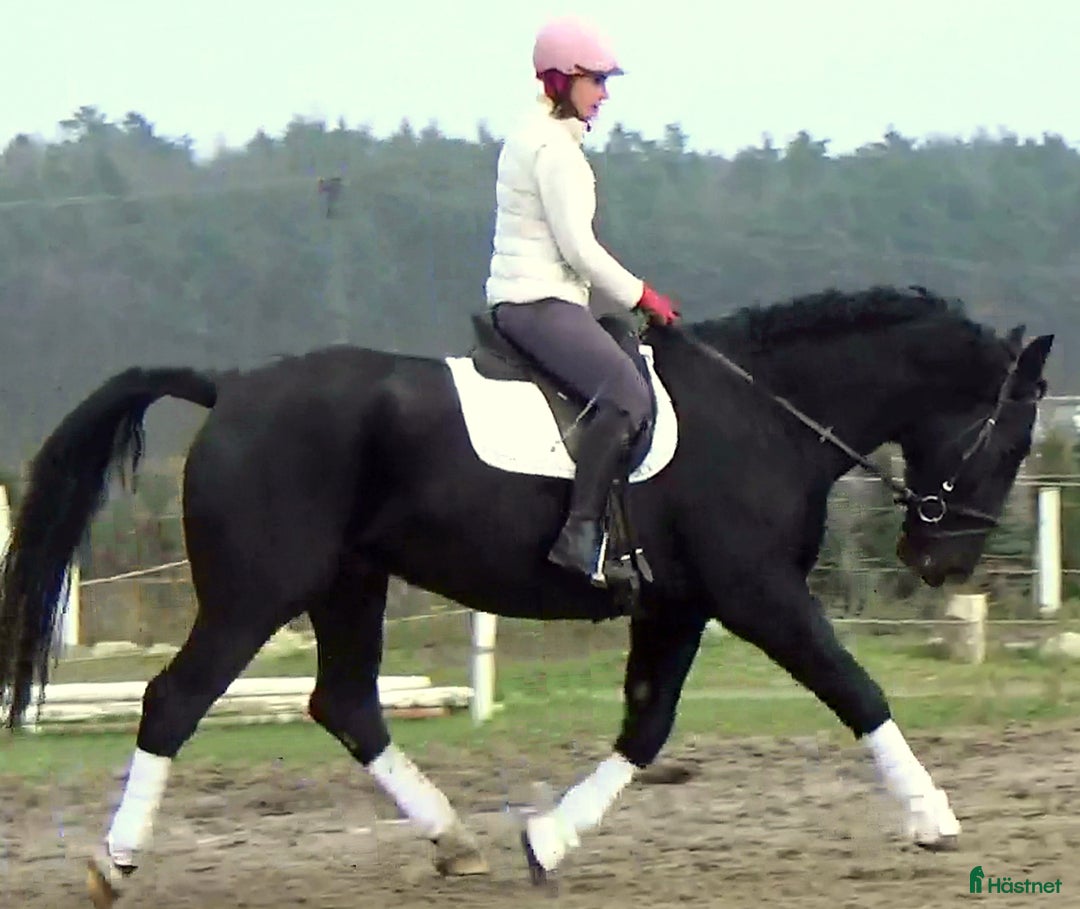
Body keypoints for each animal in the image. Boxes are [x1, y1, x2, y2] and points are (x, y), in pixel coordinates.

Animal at [0, 284, 1053, 905]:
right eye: (1009, 440)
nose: (943, 563)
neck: (766, 414)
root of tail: (231, 389)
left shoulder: (678, 604)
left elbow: (645, 728)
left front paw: (547, 838)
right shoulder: (756, 591)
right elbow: (856, 689)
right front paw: (933, 818)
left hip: (349, 582)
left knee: (345, 703)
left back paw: (453, 840)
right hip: (258, 590)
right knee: (175, 700)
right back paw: (113, 860)